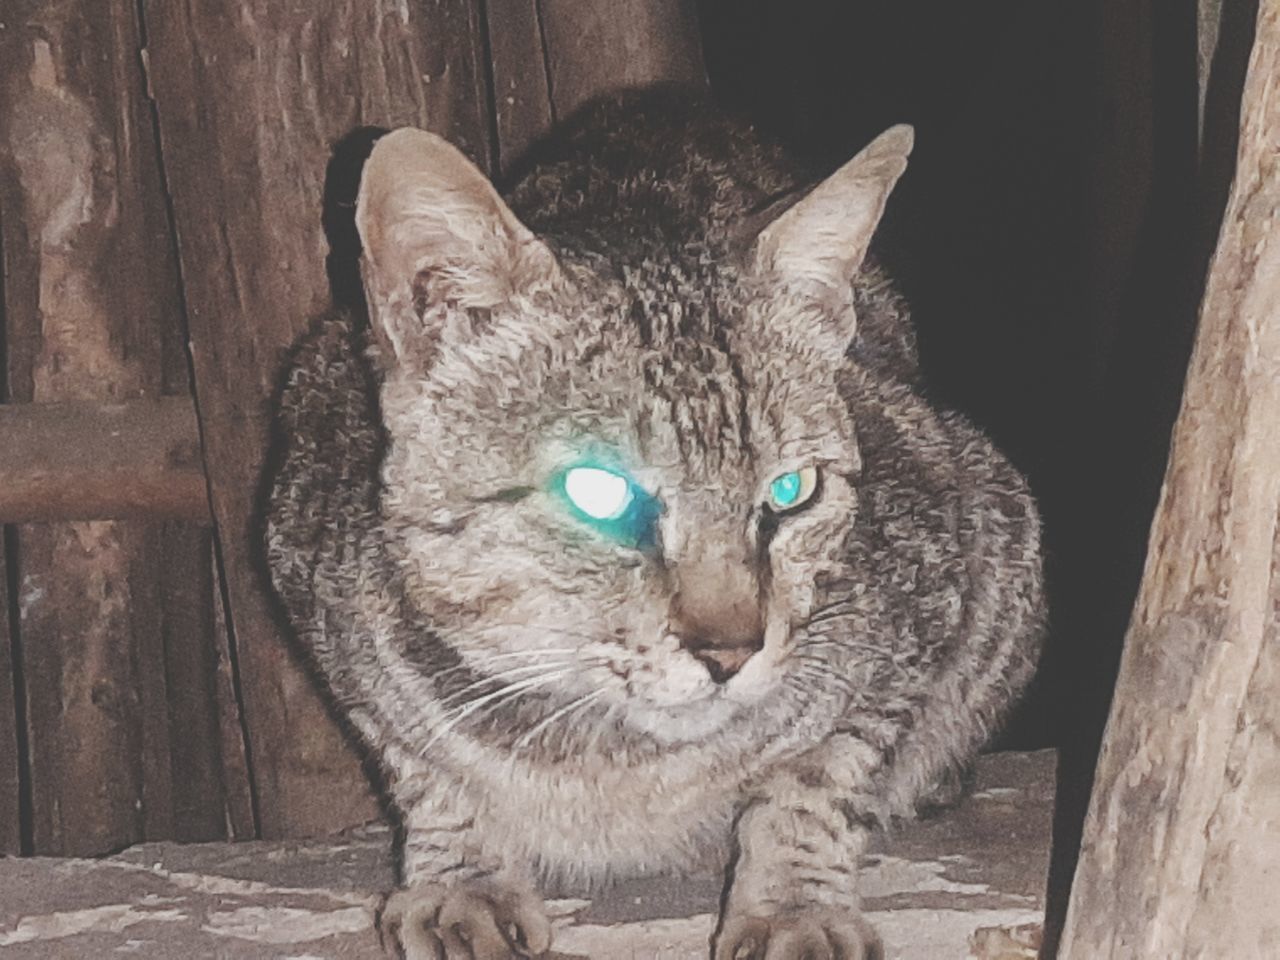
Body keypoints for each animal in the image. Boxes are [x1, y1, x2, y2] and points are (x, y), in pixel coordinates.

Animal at [264, 92, 1044, 960]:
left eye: (791, 490)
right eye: (599, 494)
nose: (733, 654)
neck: (607, 751)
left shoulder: (933, 575)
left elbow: (819, 776)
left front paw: (792, 904)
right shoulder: (316, 578)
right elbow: (426, 768)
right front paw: (461, 879)